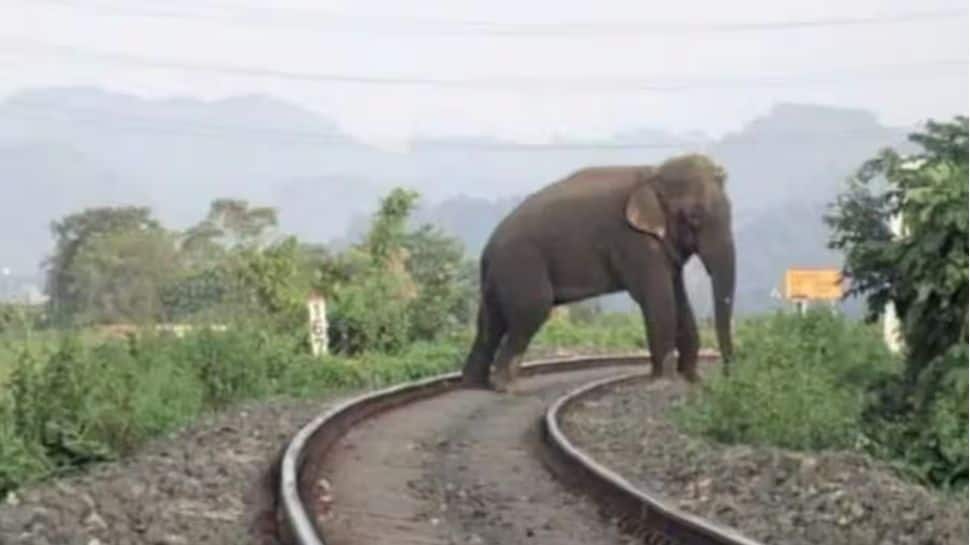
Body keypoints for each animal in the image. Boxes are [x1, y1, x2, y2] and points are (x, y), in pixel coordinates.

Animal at [460, 153, 735, 392]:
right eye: (695, 217)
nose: (726, 375)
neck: (653, 173)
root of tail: (487, 250)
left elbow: (679, 300)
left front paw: (692, 378)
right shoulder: (634, 242)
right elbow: (658, 300)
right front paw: (664, 382)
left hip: (499, 276)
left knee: (490, 322)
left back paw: (474, 383)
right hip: (521, 265)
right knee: (530, 312)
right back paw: (504, 387)